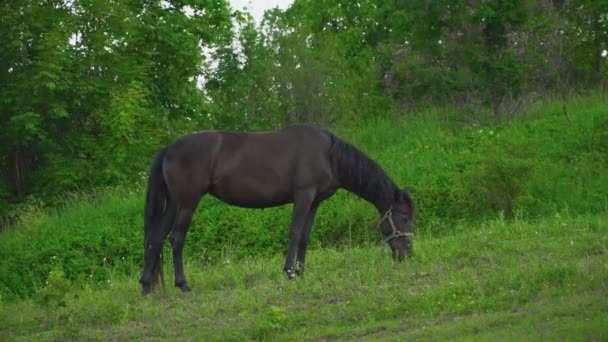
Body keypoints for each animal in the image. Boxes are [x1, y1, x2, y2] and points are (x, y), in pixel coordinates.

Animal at [140, 124, 416, 296]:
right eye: (403, 218)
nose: (406, 255)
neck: (328, 154)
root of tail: (168, 149)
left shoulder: (315, 201)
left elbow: (304, 237)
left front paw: (301, 272)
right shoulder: (303, 196)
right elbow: (294, 233)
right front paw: (289, 272)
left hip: (173, 204)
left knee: (155, 238)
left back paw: (145, 286)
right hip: (187, 203)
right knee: (176, 239)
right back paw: (183, 285)